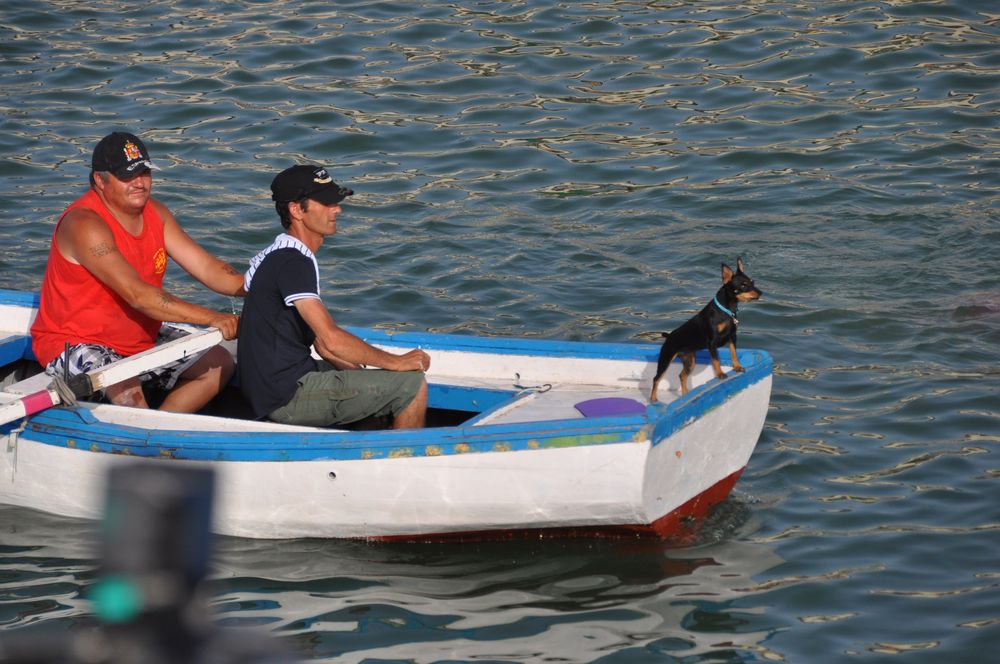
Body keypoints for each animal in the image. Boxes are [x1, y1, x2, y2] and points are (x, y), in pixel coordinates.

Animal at [648, 258, 764, 402]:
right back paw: (653, 399)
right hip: (666, 359)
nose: (760, 293)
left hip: (690, 361)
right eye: (743, 285)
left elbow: (733, 353)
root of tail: (668, 336)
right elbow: (716, 360)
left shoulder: (732, 337)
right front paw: (720, 374)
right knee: (656, 378)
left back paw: (685, 395)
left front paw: (737, 367)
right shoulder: (712, 342)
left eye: (753, 282)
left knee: (682, 376)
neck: (727, 311)